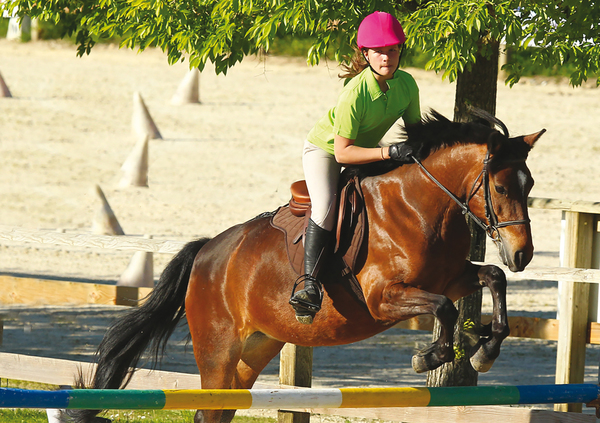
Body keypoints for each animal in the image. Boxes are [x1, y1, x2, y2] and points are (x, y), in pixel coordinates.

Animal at [67, 110, 544, 423]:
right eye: (502, 187)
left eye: (530, 185)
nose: (523, 254)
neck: (421, 206)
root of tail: (206, 253)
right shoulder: (383, 298)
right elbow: (444, 307)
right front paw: (429, 356)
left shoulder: (453, 276)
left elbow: (492, 278)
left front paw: (484, 349)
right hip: (218, 352)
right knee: (209, 408)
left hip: (255, 349)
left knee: (225, 407)